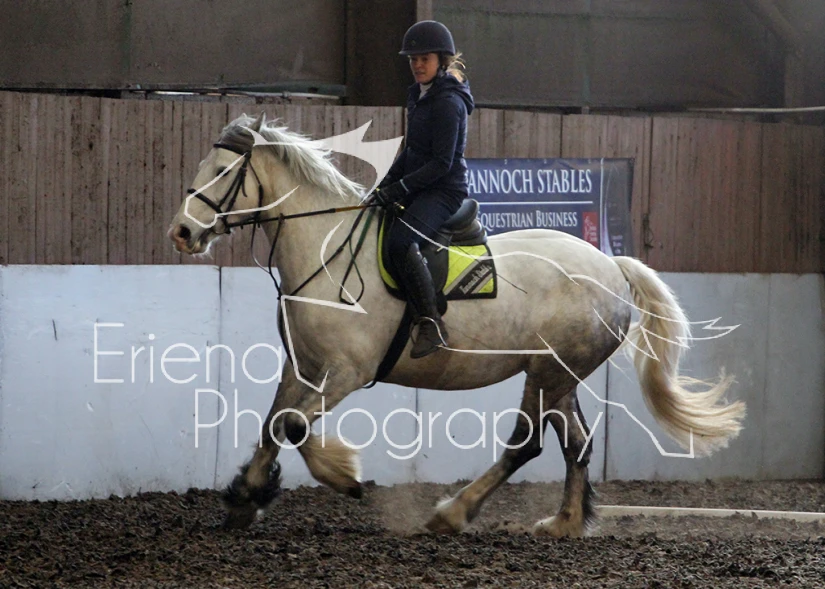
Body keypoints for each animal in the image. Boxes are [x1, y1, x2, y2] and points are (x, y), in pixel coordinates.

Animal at [168, 113, 745, 537]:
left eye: (222, 173)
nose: (181, 232)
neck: (325, 250)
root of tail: (611, 266)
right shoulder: (303, 366)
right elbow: (274, 423)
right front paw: (246, 499)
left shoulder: (347, 372)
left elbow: (293, 426)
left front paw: (345, 478)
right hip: (559, 375)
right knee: (574, 443)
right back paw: (563, 523)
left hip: (549, 374)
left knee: (526, 444)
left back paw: (453, 513)